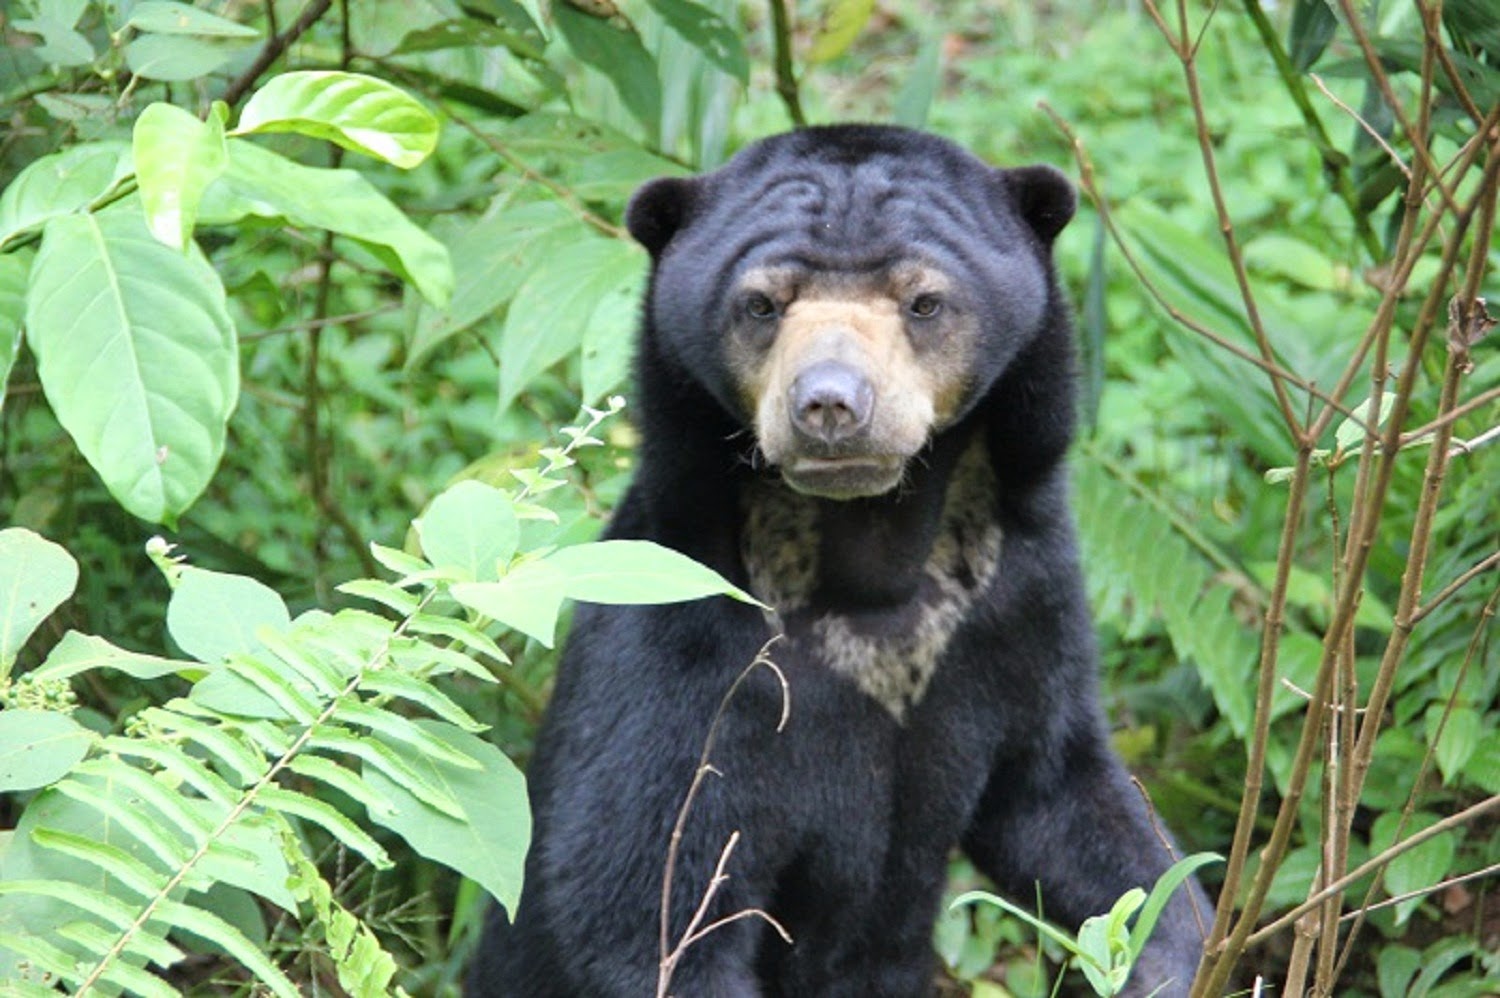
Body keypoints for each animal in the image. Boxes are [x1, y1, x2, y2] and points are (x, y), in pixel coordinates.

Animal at [468, 126, 1206, 996]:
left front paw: (1168, 953)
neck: (871, 551)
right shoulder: (678, 648)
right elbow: (634, 901)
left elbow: (1065, 796)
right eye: (761, 304)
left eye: (924, 301)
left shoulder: (1021, 600)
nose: (829, 404)